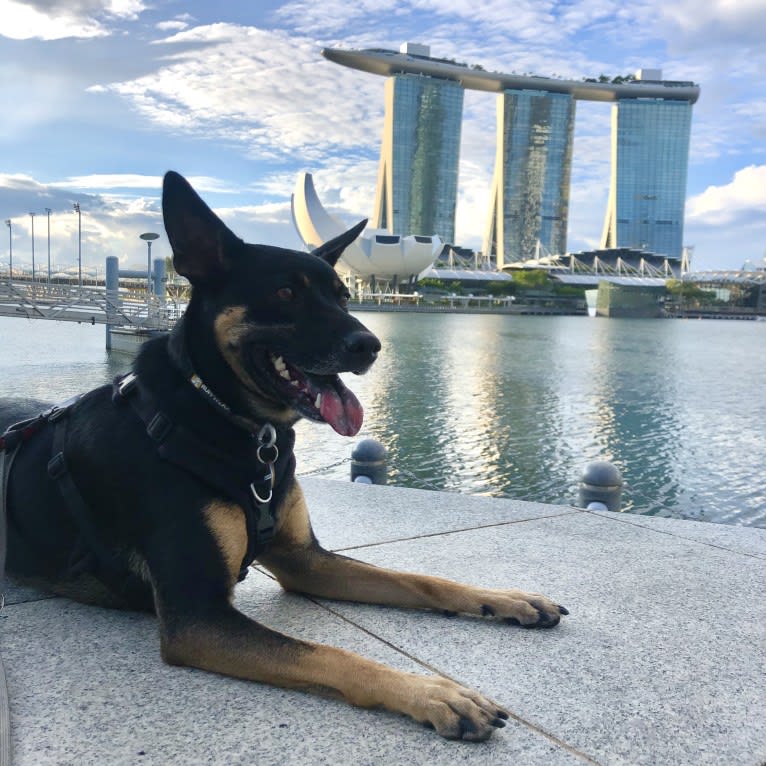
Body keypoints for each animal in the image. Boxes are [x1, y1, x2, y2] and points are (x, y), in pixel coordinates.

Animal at [1, 171, 568, 740]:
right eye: (284, 293)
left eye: (344, 295)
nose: (370, 345)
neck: (231, 420)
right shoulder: (197, 617)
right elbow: (330, 654)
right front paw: (433, 692)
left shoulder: (305, 561)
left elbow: (418, 579)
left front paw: (507, 599)